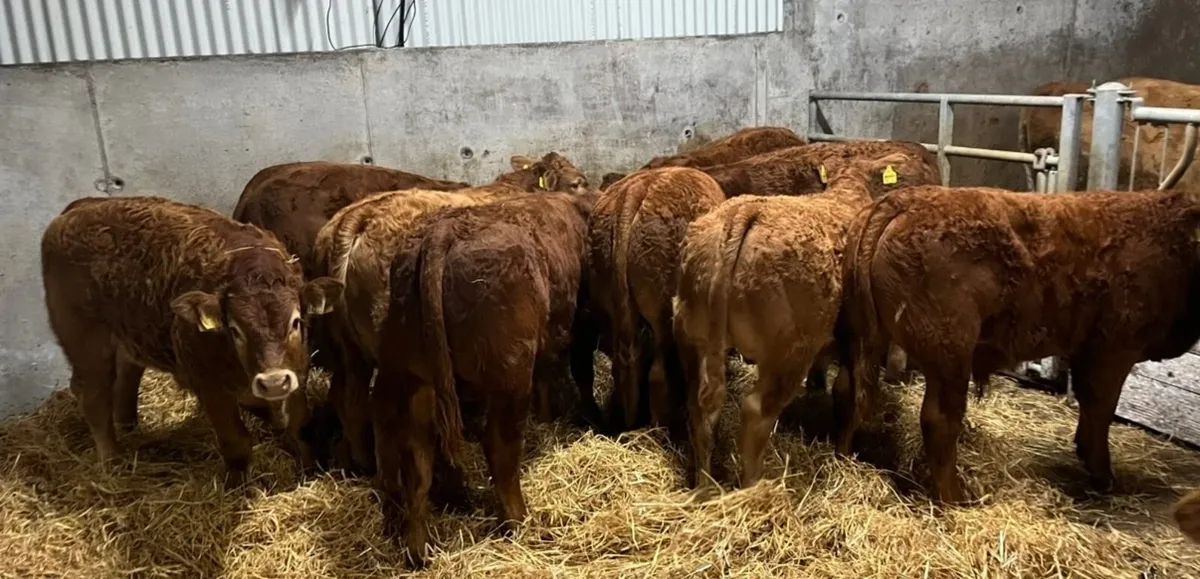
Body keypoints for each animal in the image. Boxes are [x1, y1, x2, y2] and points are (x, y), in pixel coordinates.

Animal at [41, 196, 344, 487]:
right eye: (235, 330)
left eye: (296, 322)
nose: (272, 382)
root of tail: (77, 209)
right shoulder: (210, 388)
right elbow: (236, 443)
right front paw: (238, 488)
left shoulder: (296, 374)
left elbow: (299, 426)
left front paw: (310, 470)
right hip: (87, 344)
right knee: (94, 397)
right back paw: (113, 461)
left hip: (128, 339)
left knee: (126, 378)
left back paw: (129, 428)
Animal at [370, 192, 596, 566]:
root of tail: (443, 232)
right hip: (510, 376)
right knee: (500, 448)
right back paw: (520, 523)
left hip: (415, 380)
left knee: (418, 462)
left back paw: (419, 551)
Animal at [587, 167, 726, 436]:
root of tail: (636, 189)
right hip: (663, 314)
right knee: (658, 374)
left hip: (613, 307)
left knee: (626, 363)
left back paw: (629, 422)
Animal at [673, 154, 911, 489]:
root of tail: (744, 211)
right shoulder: (859, 338)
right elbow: (850, 394)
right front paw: (843, 452)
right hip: (789, 352)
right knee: (756, 413)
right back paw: (755, 485)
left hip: (693, 338)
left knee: (701, 408)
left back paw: (705, 484)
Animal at [837, 186, 1200, 504]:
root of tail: (902, 200)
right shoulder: (1114, 350)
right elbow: (1100, 410)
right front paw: (1103, 477)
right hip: (949, 354)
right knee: (939, 421)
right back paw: (956, 500)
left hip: (866, 340)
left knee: (852, 393)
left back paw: (845, 457)